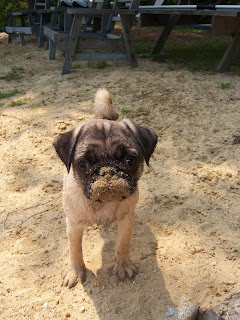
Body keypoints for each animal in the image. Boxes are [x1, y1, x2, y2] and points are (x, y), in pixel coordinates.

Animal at [53, 88, 157, 288]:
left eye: (130, 160)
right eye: (82, 165)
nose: (107, 171)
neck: (103, 204)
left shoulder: (126, 219)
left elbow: (123, 244)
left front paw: (123, 266)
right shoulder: (73, 226)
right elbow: (75, 250)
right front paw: (75, 271)